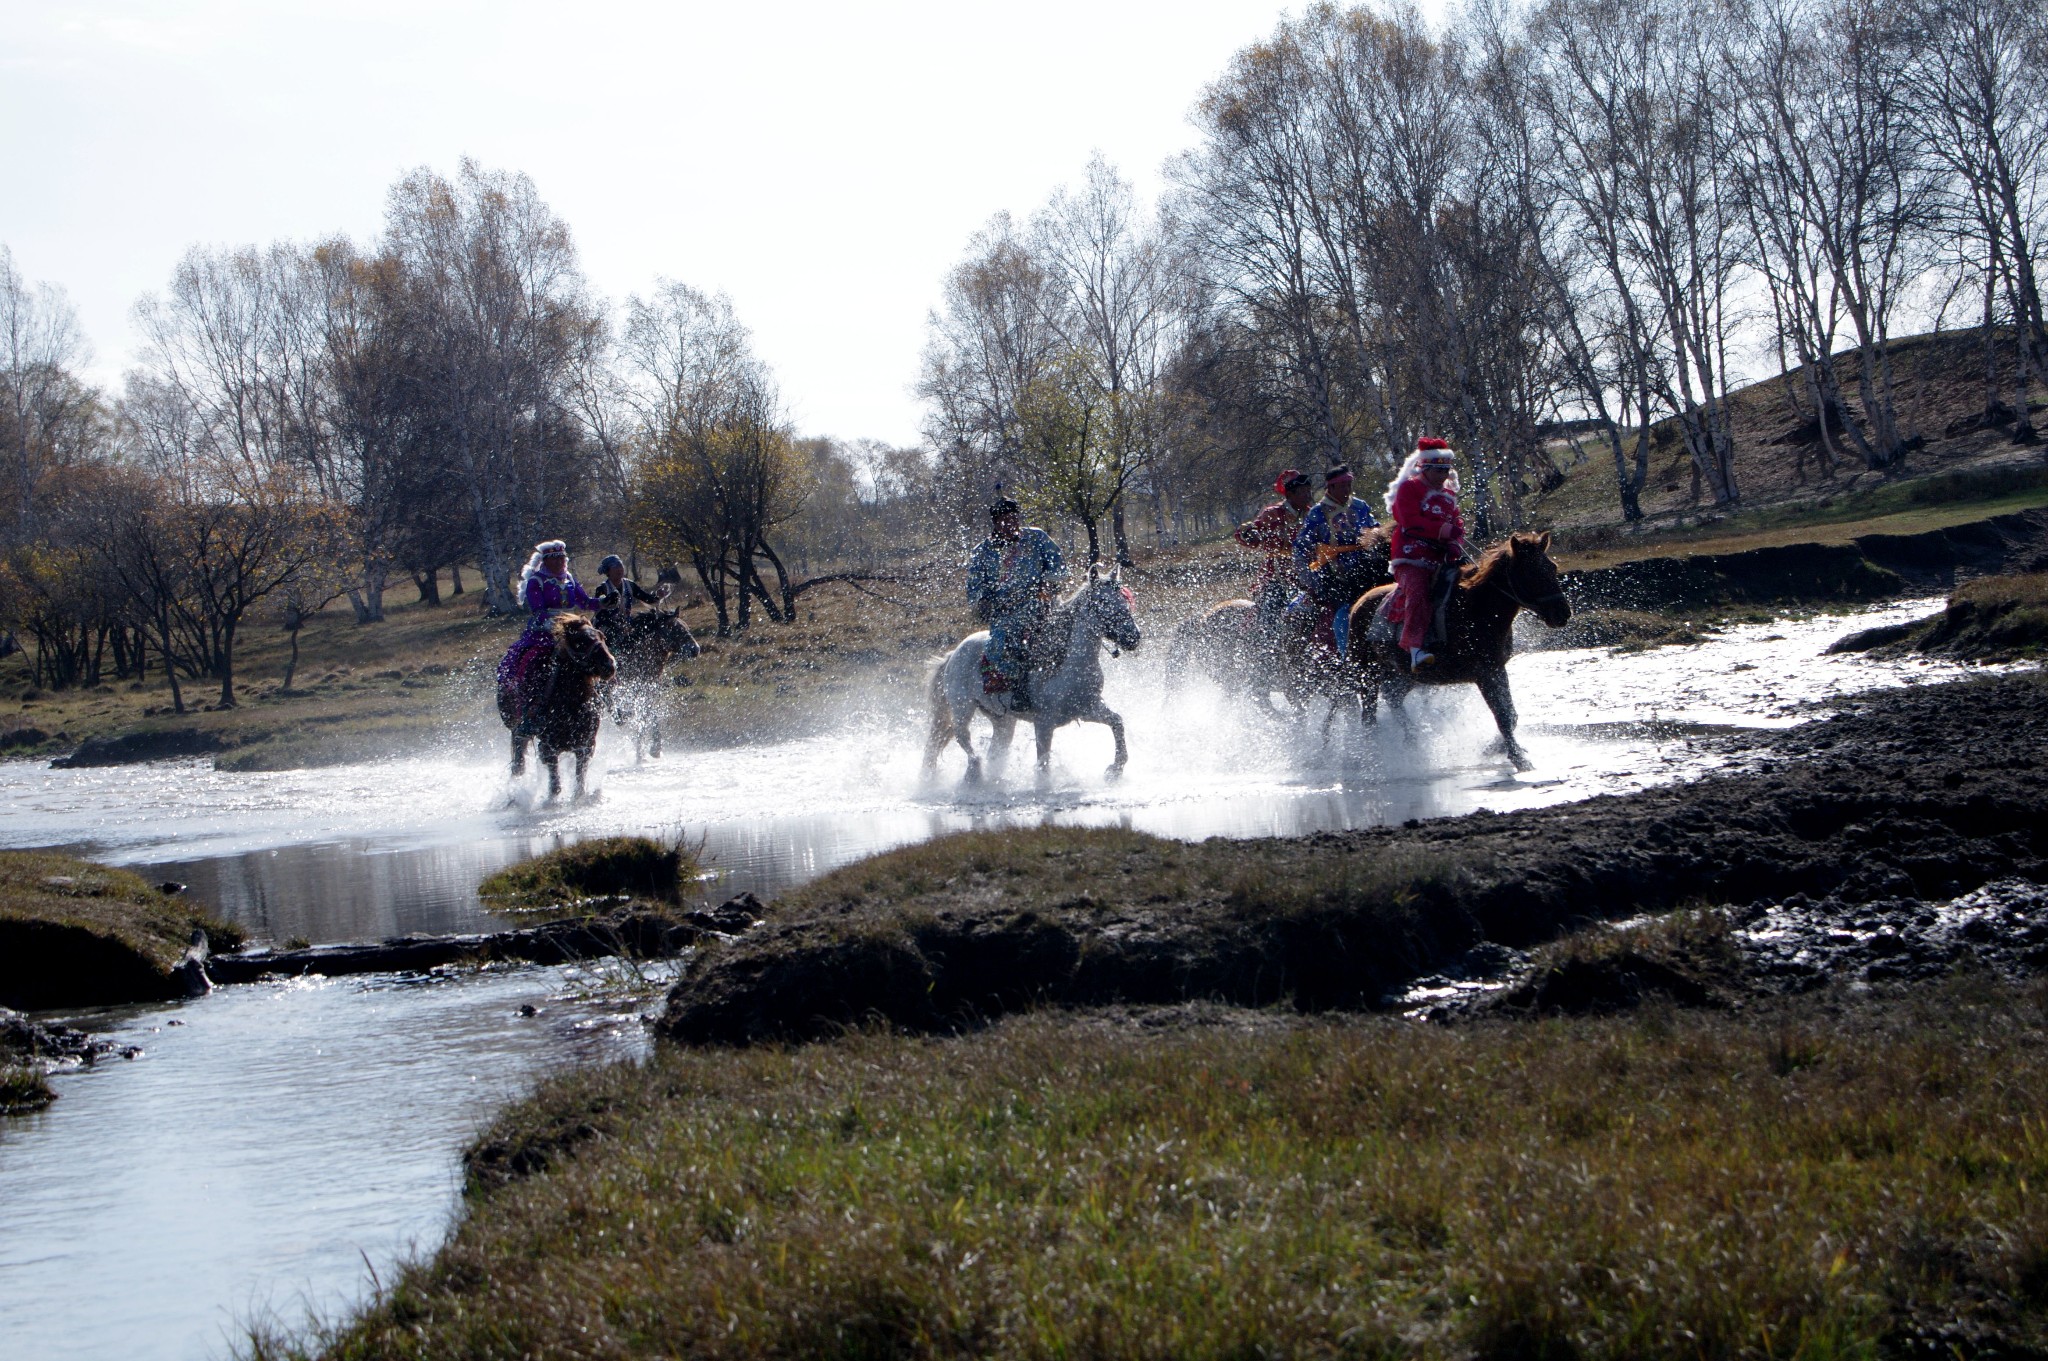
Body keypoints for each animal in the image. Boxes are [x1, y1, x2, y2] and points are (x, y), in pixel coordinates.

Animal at [497, 613, 614, 798]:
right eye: (580, 642)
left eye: (602, 637)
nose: (609, 665)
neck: (569, 704)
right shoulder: (548, 746)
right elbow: (554, 782)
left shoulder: (586, 744)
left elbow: (579, 780)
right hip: (515, 727)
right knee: (518, 760)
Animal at [598, 605, 704, 765]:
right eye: (675, 628)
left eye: (686, 627)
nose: (695, 649)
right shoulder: (614, 687)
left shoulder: (646, 690)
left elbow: (648, 716)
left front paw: (650, 750)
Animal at [925, 564, 1146, 781]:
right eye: (1102, 600)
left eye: (1124, 600)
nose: (1133, 637)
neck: (1067, 664)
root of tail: (953, 654)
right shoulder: (1044, 723)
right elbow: (1043, 763)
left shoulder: (1088, 708)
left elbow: (1117, 721)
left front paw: (1116, 768)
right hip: (962, 707)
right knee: (962, 737)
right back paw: (974, 773)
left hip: (1002, 720)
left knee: (993, 748)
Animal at [1343, 528, 1564, 769]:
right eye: (1529, 571)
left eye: (1552, 567)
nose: (1563, 612)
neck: (1477, 609)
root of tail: (1358, 605)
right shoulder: (1483, 673)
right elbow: (1503, 716)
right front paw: (1517, 758)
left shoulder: (1497, 668)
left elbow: (1510, 715)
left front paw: (1495, 748)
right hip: (1368, 674)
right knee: (1369, 718)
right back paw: (1375, 754)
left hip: (1404, 675)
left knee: (1394, 698)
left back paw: (1411, 740)